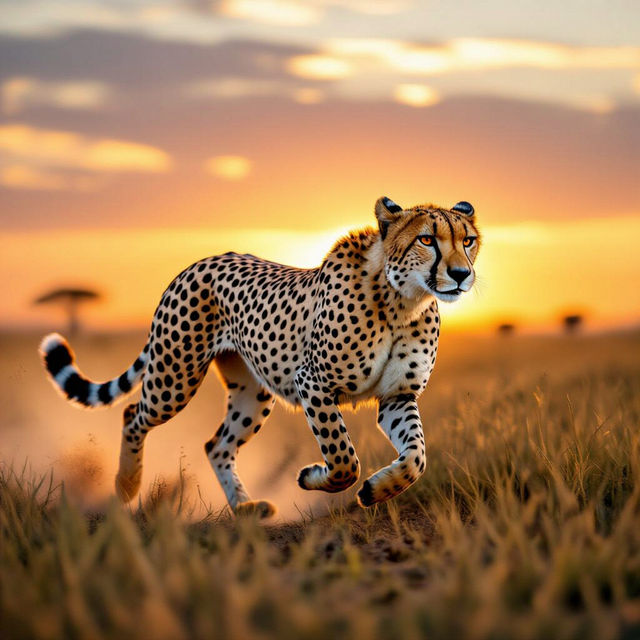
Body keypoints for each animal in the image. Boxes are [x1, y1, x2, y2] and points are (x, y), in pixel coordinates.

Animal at [40, 196, 481, 517]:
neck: (403, 301)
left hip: (252, 393)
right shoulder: (313, 382)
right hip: (174, 376)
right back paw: (126, 486)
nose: (461, 275)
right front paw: (313, 477)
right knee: (133, 414)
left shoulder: (397, 396)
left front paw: (378, 489)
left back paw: (245, 508)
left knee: (216, 445)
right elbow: (343, 458)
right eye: (427, 240)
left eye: (468, 241)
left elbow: (416, 457)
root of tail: (199, 262)